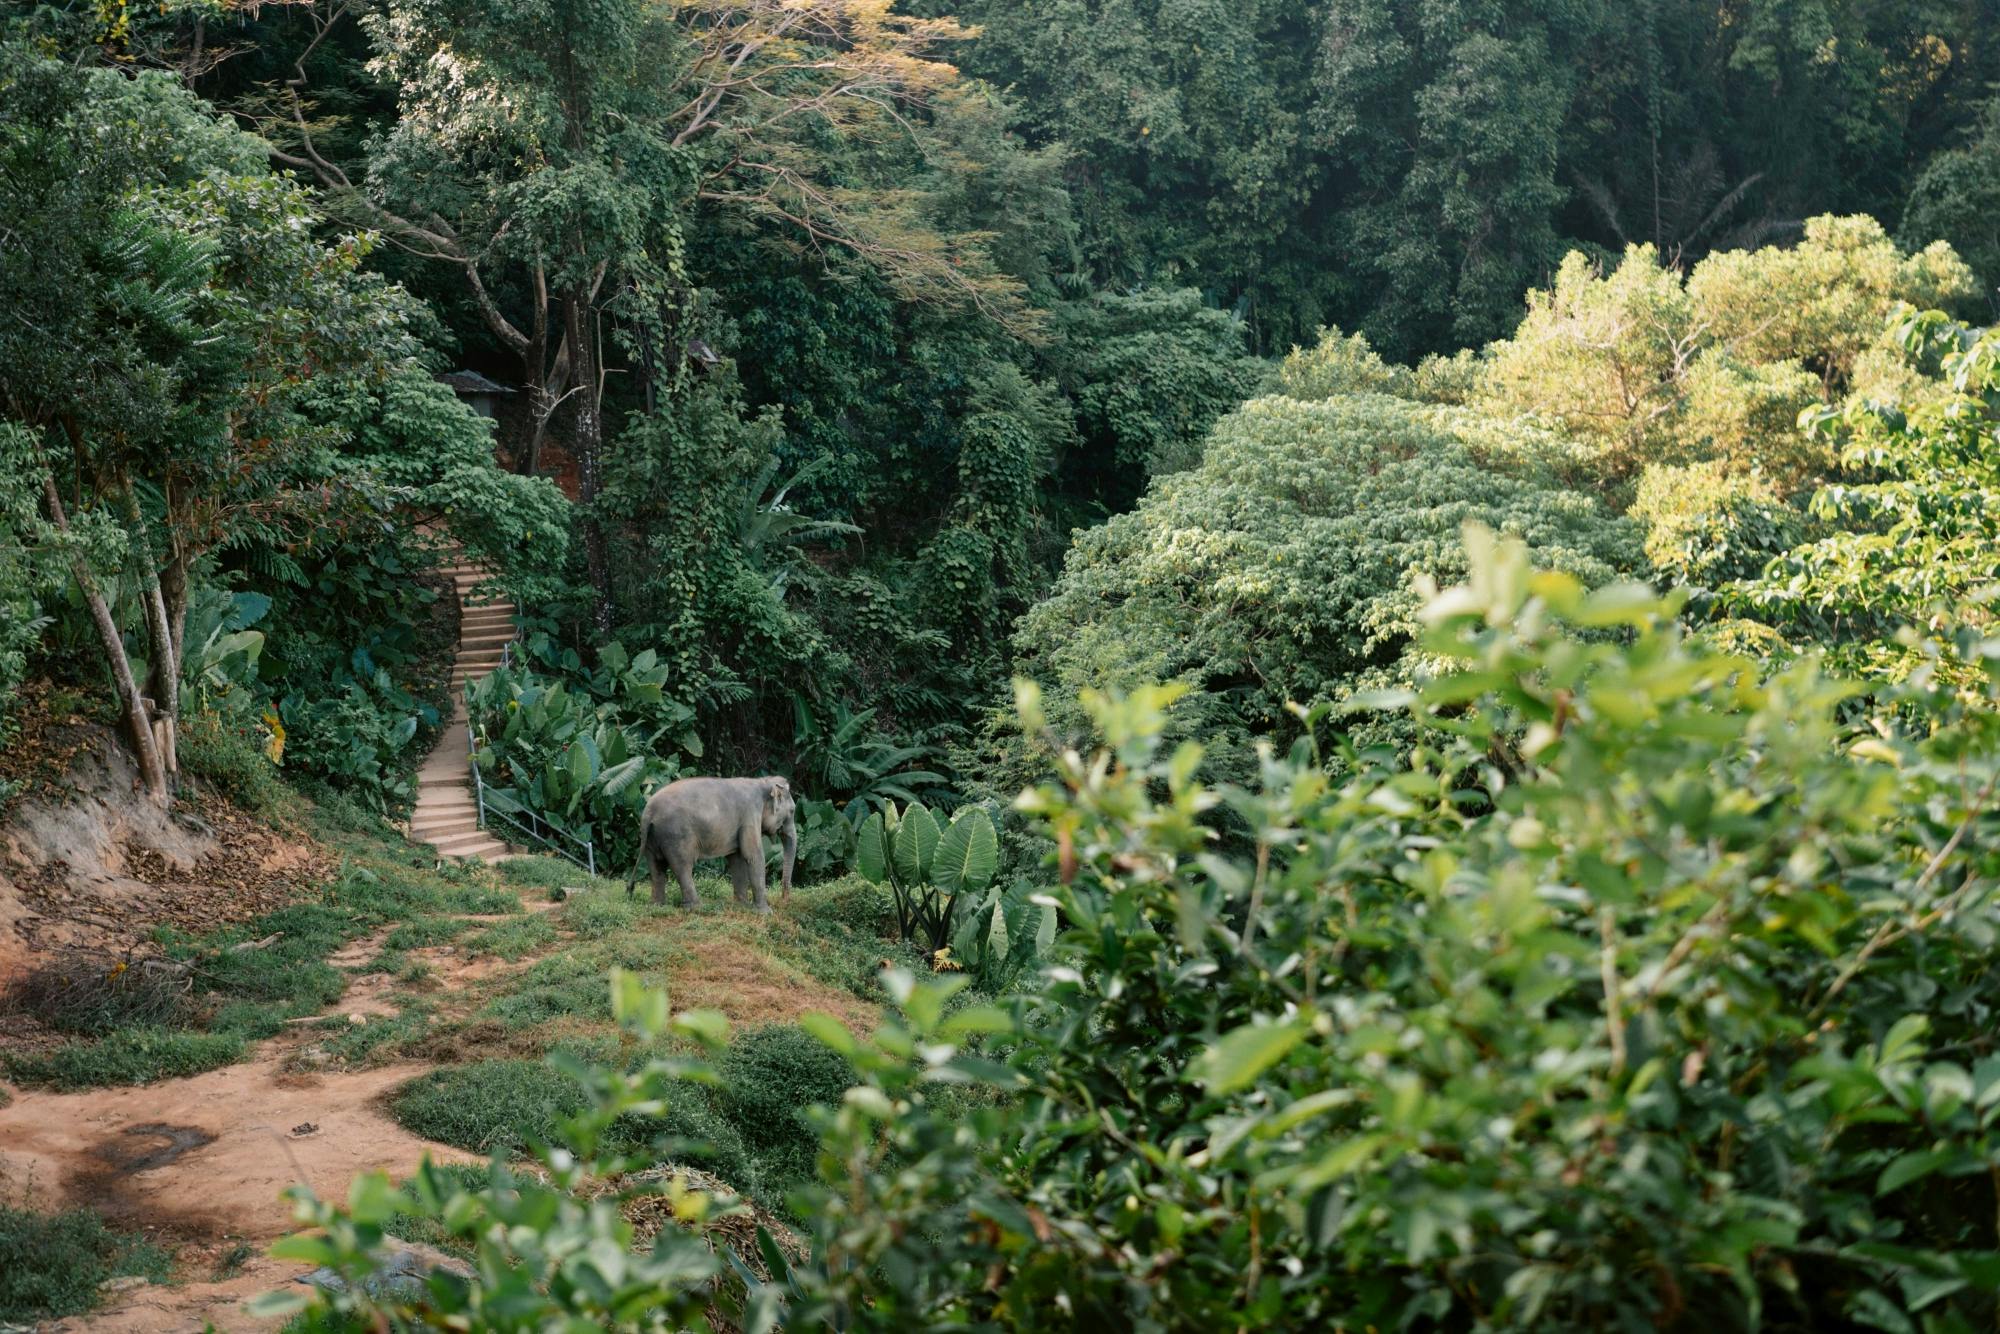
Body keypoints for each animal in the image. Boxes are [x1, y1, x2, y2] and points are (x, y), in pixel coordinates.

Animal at [627, 775, 796, 912]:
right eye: (793, 811)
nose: (784, 900)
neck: (763, 781)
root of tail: (648, 813)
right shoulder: (750, 815)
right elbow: (753, 856)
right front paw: (765, 912)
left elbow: (736, 859)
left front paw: (742, 906)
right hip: (675, 835)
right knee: (683, 866)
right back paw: (697, 908)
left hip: (652, 838)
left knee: (656, 867)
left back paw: (658, 906)